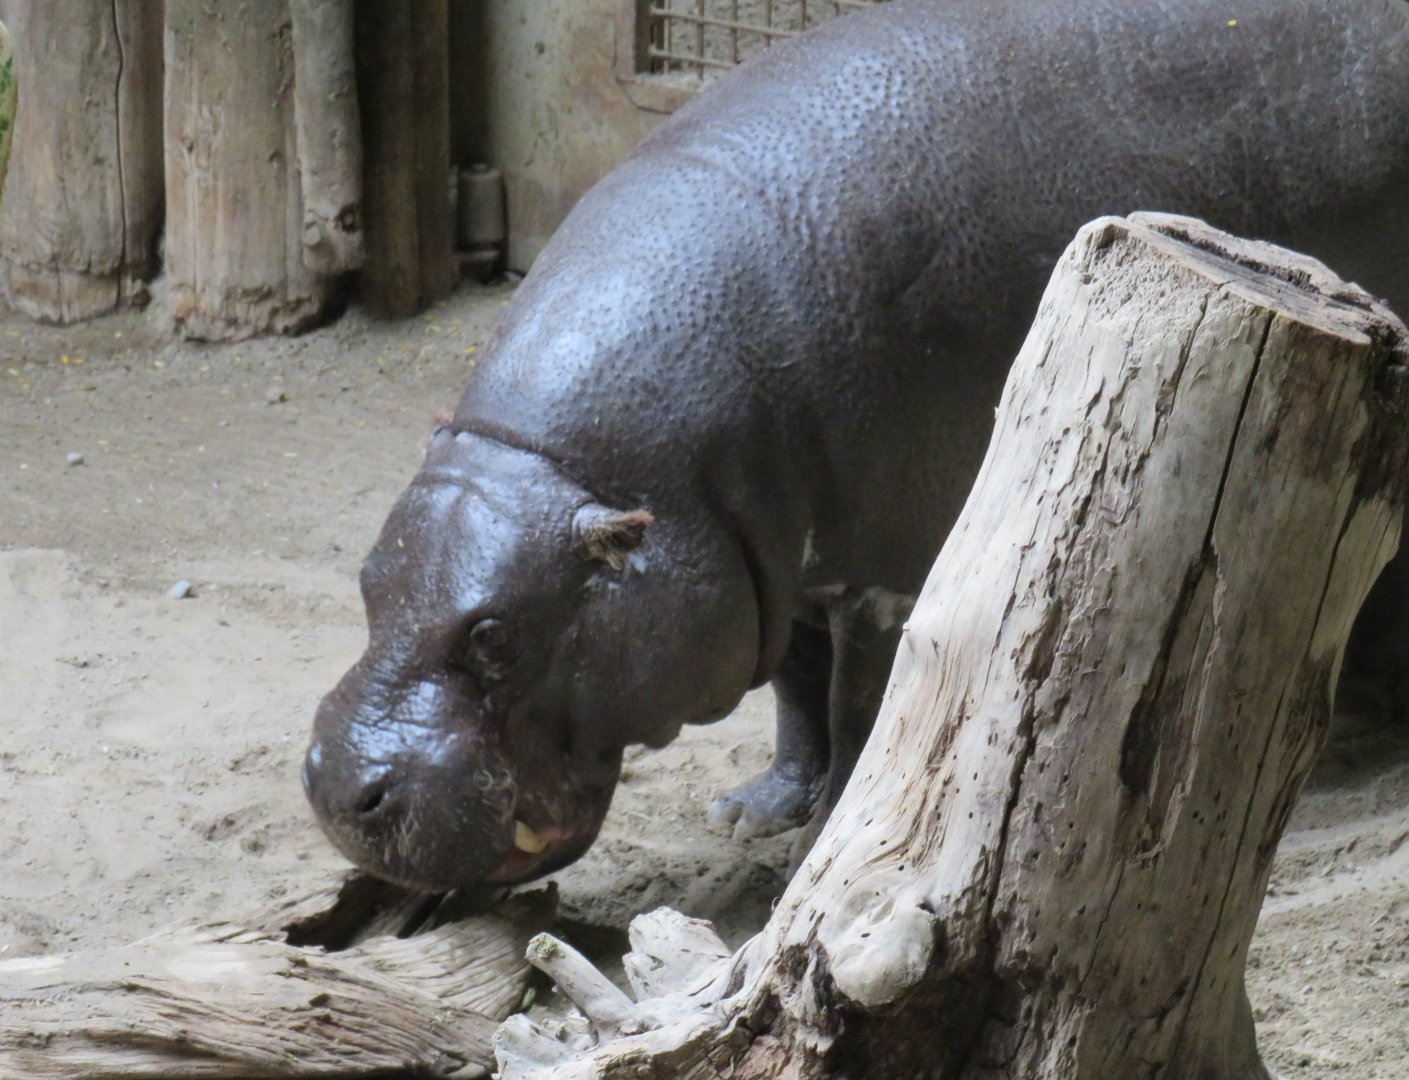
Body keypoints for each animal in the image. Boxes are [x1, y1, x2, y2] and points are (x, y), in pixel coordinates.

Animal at [304, 0, 1409, 891]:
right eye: (364, 581)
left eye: (495, 636)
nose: (337, 787)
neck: (607, 476)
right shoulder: (767, 557)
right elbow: (793, 685)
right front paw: (753, 810)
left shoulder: (880, 568)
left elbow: (853, 702)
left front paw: (821, 837)